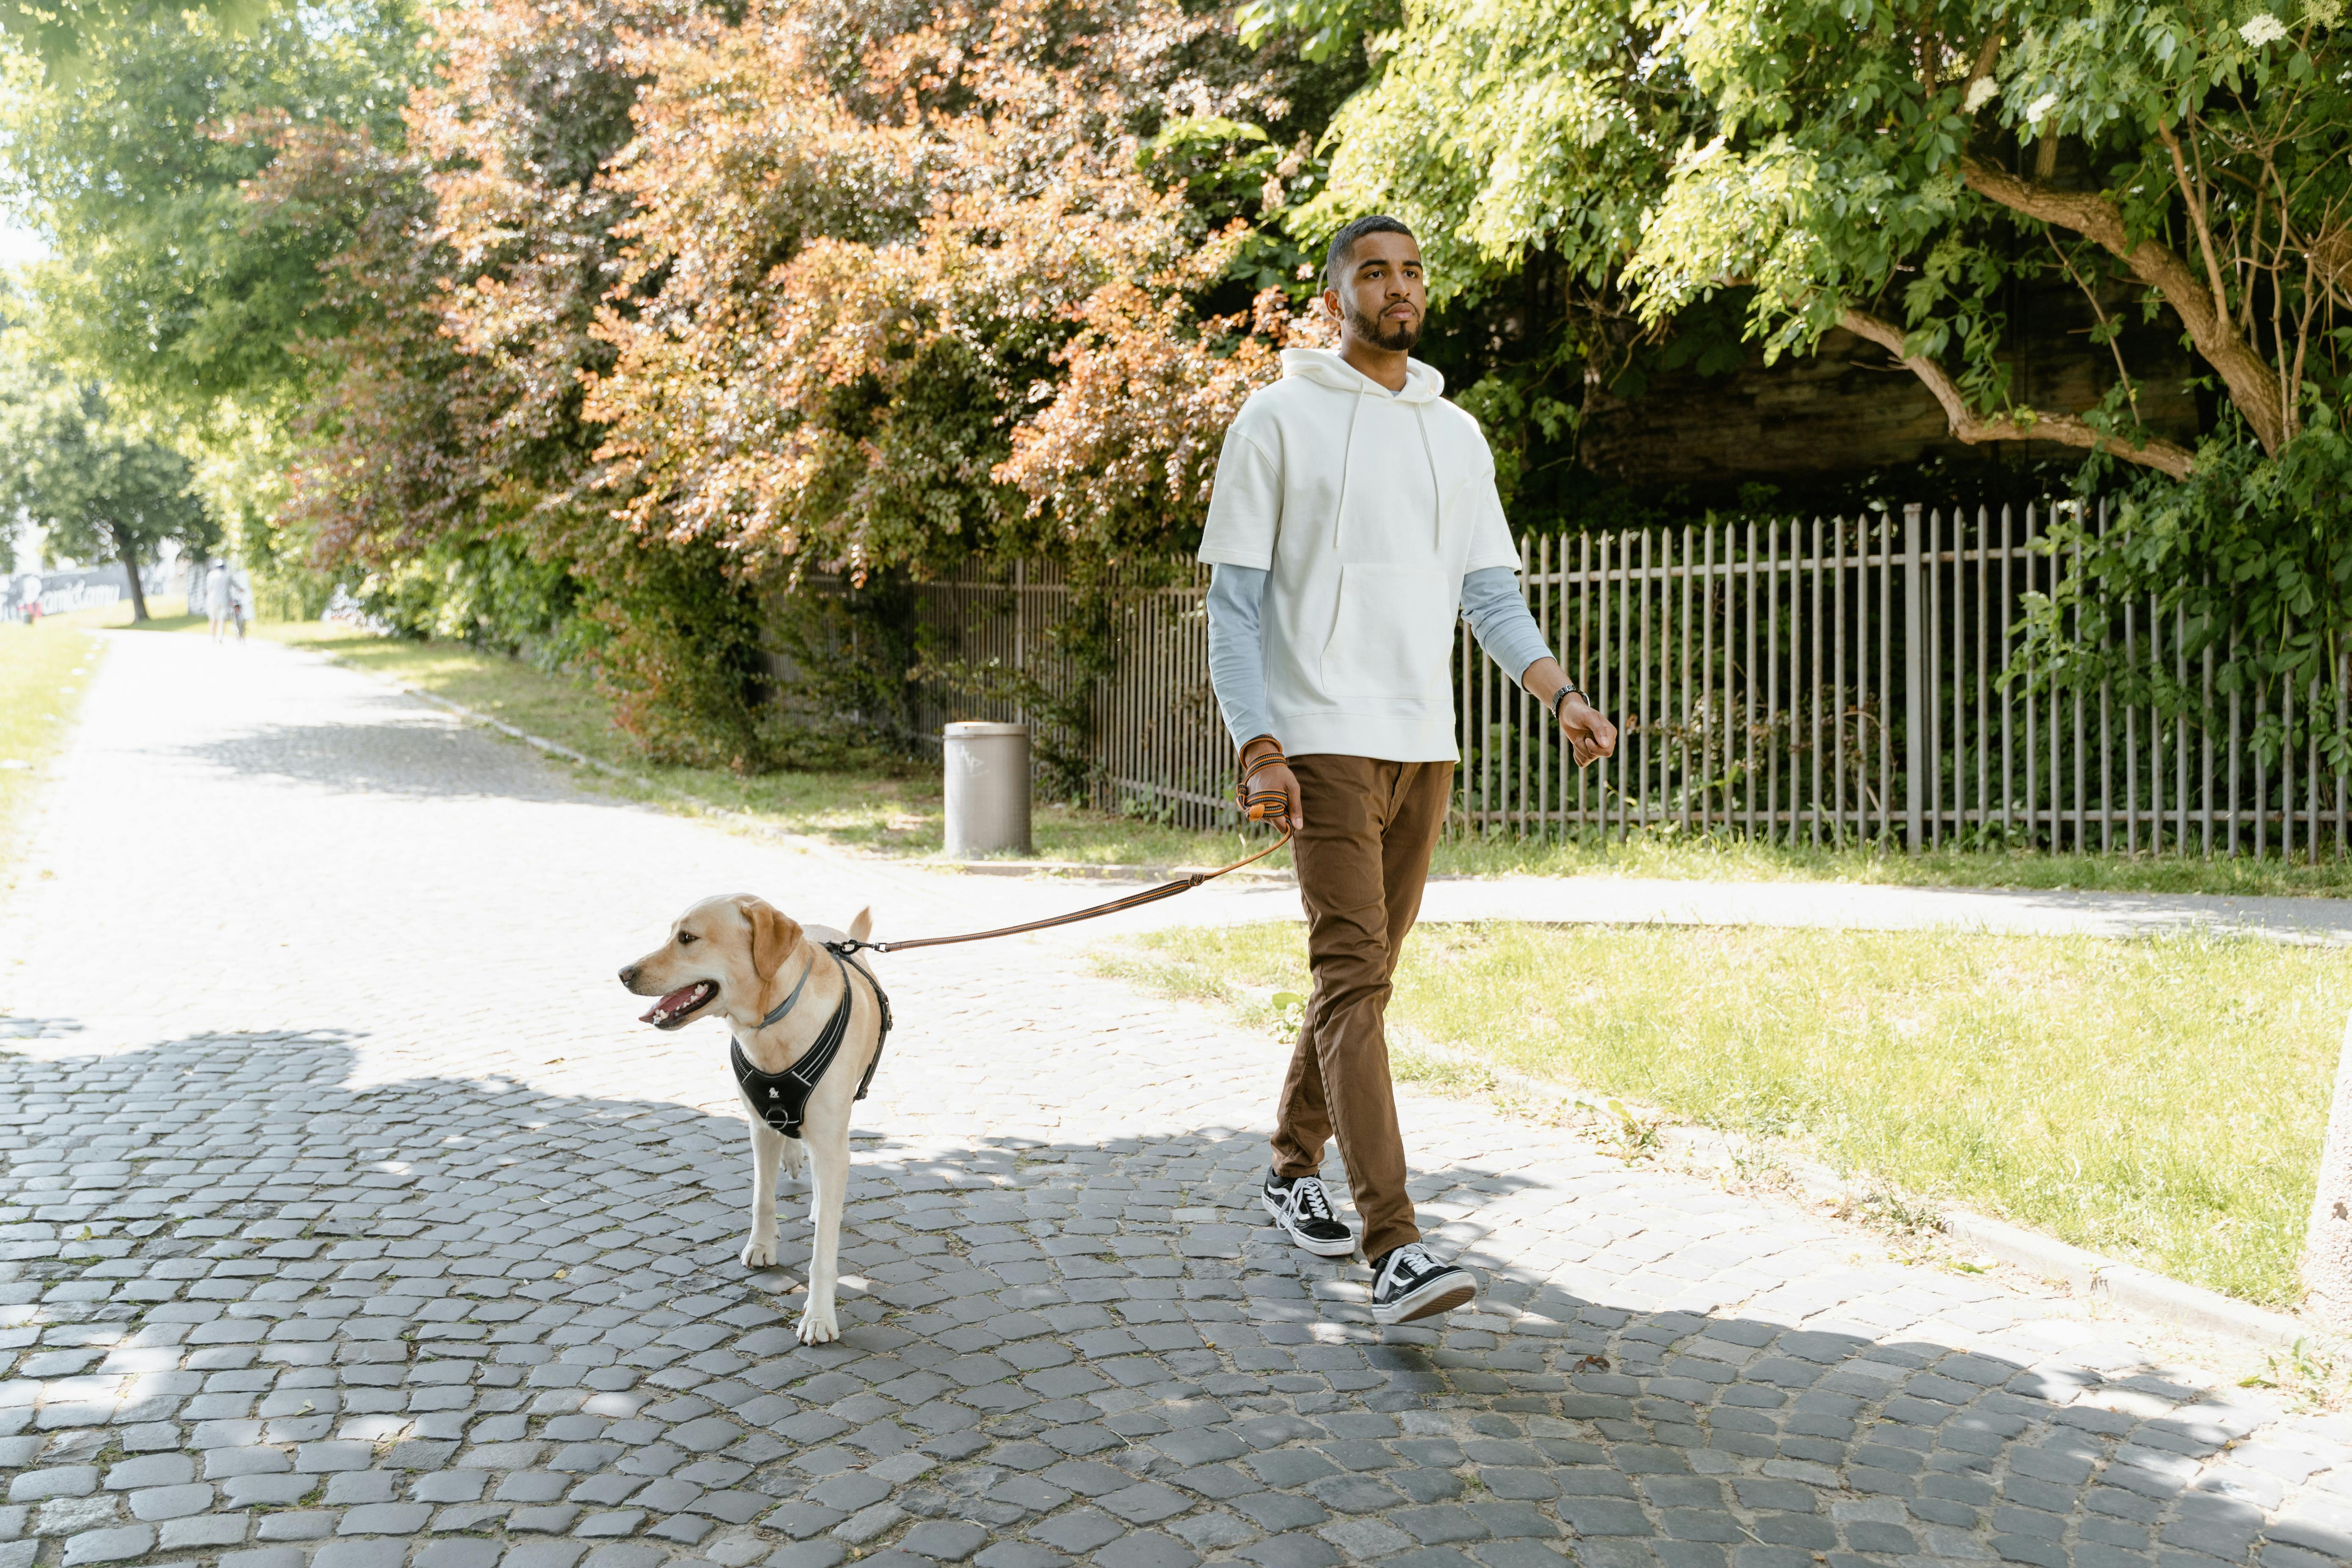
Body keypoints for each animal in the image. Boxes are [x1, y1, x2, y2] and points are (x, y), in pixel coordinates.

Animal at [621, 903, 884, 1344]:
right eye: (671, 933)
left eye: (688, 938)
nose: (624, 973)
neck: (771, 1024)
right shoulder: (759, 1126)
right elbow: (762, 1198)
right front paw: (761, 1245)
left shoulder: (831, 1140)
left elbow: (823, 1252)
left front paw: (819, 1316)